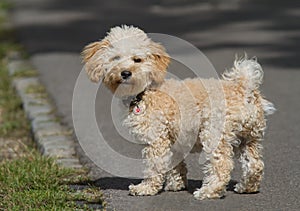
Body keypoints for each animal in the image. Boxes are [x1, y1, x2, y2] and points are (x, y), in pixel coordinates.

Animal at [81, 25, 274, 199]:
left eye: (138, 60)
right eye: (116, 58)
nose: (125, 73)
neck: (145, 92)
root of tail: (245, 88)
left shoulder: (156, 139)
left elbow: (155, 166)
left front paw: (145, 188)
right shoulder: (172, 139)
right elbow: (175, 165)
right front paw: (176, 184)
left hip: (214, 135)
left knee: (222, 165)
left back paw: (208, 192)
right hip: (250, 137)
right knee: (255, 164)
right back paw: (246, 187)